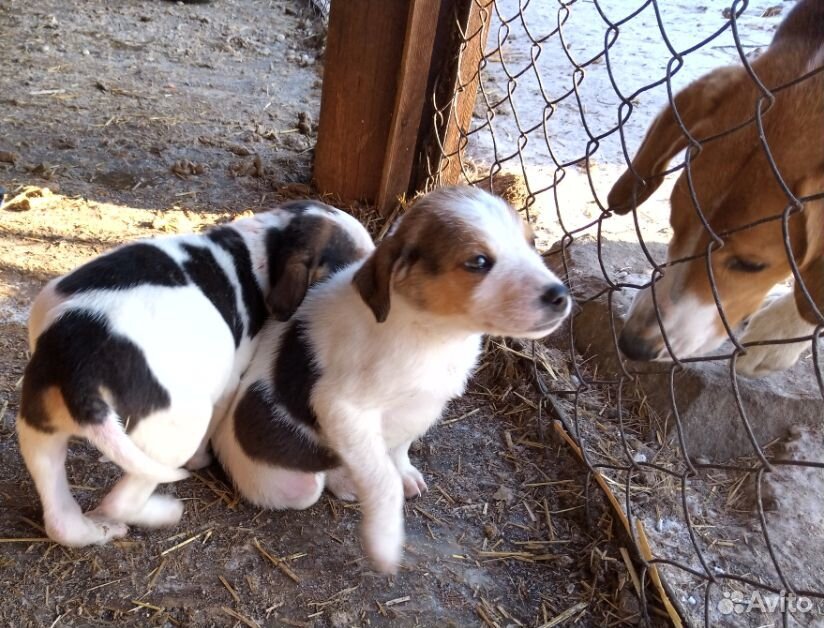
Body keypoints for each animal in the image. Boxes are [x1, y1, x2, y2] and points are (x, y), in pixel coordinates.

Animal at [17, 204, 372, 548]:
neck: (260, 246)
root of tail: (79, 371)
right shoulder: (229, 383)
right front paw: (202, 461)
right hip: (178, 432)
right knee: (122, 501)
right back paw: (163, 512)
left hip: (39, 430)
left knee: (61, 520)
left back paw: (97, 530)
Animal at [212, 184, 572, 572]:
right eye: (478, 262)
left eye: (532, 243)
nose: (560, 296)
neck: (431, 335)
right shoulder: (342, 409)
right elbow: (383, 480)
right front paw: (384, 539)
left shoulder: (421, 408)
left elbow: (397, 448)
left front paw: (403, 472)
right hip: (293, 484)